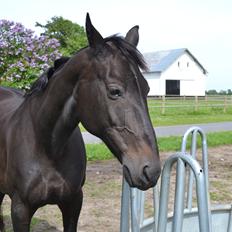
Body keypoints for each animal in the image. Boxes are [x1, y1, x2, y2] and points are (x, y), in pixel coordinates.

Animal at [0, 14, 160, 230]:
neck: (47, 146)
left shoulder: (74, 203)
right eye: (114, 91)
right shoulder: (20, 210)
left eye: (147, 89)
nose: (151, 170)